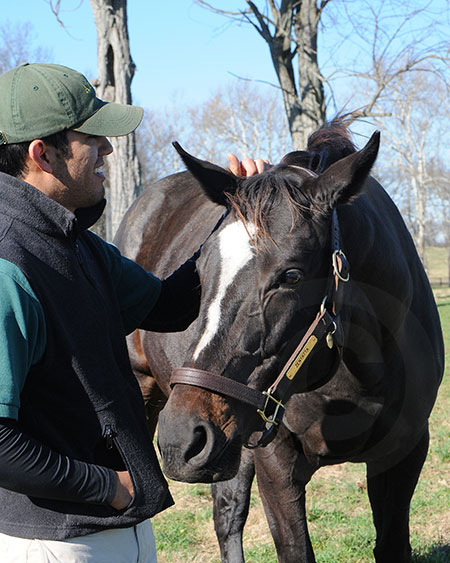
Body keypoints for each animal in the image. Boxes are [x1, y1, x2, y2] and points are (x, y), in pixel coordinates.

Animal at [114, 124, 444, 563]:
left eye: (291, 276)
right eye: (199, 271)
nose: (180, 438)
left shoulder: (403, 455)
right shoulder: (275, 462)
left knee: (227, 511)